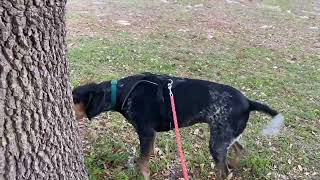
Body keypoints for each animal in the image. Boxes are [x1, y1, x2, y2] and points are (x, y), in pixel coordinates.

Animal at [72, 72, 282, 179]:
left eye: (72, 99)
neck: (122, 92)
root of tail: (248, 102)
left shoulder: (147, 134)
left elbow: (142, 164)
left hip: (217, 142)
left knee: (224, 172)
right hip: (226, 136)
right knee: (238, 152)